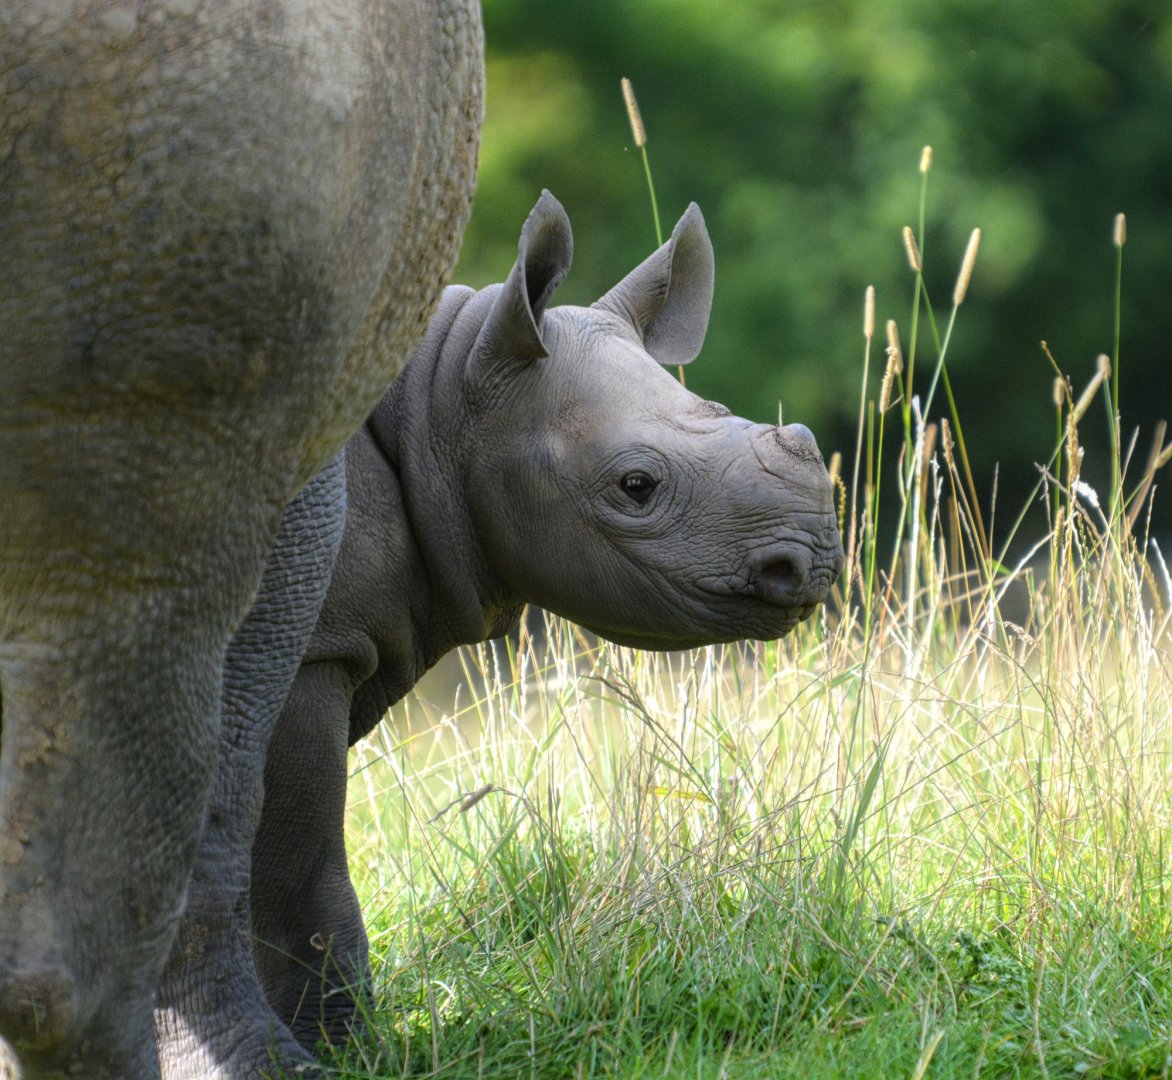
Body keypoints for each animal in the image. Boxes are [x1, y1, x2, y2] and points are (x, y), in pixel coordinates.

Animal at [148, 192, 843, 1076]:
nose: (811, 559)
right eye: (636, 486)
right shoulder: (310, 650)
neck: (444, 399)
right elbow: (301, 863)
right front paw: (346, 1052)